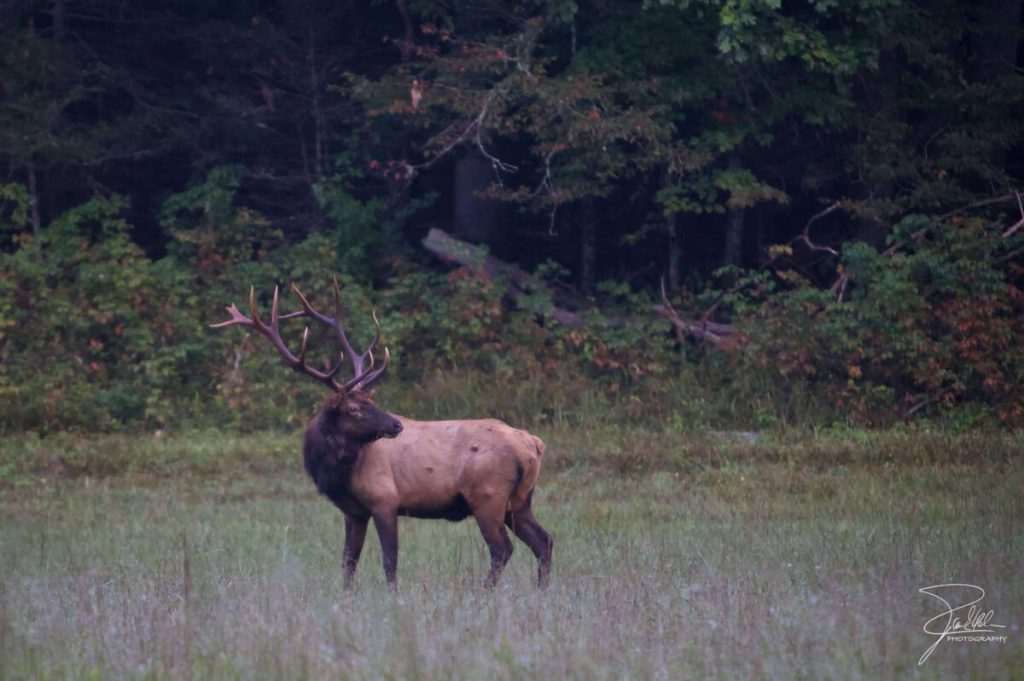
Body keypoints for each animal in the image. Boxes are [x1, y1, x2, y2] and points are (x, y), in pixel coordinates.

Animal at [212, 281, 553, 589]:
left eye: (369, 402)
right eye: (354, 408)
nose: (396, 425)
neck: (337, 472)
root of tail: (534, 445)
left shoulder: (385, 499)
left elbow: (390, 560)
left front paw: (393, 597)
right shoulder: (353, 511)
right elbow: (348, 561)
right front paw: (347, 597)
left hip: (488, 495)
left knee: (502, 549)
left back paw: (484, 593)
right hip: (519, 500)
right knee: (544, 541)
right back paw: (541, 591)